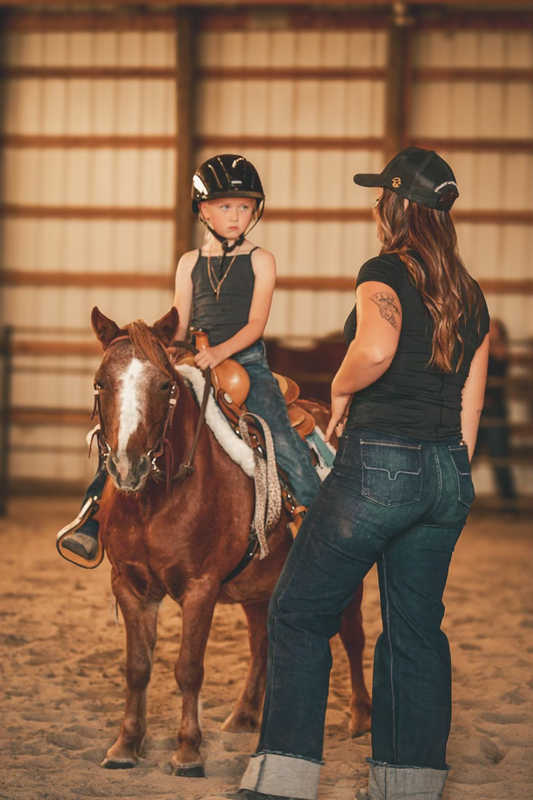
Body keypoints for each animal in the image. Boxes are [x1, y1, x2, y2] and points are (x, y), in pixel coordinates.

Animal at [87, 305, 371, 777]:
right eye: (100, 382)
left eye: (165, 385)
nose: (129, 466)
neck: (153, 503)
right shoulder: (129, 586)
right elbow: (137, 668)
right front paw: (126, 746)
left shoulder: (200, 589)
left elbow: (188, 668)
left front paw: (187, 752)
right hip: (261, 586)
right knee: (261, 641)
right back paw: (244, 715)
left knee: (352, 635)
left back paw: (361, 718)